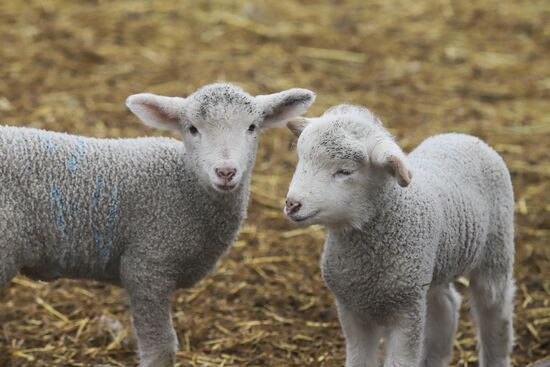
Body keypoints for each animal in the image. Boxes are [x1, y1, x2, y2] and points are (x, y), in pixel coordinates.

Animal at [0, 83, 316, 367]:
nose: (226, 171)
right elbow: (162, 349)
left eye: (252, 127)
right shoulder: (147, 264)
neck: (184, 184)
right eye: (192, 129)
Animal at [284, 103, 516, 367]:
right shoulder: (351, 308)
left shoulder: (406, 313)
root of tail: (462, 136)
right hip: (431, 268)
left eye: (344, 171)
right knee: (445, 306)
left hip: (496, 249)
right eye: (301, 159)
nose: (292, 204)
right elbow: (359, 359)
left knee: (495, 310)